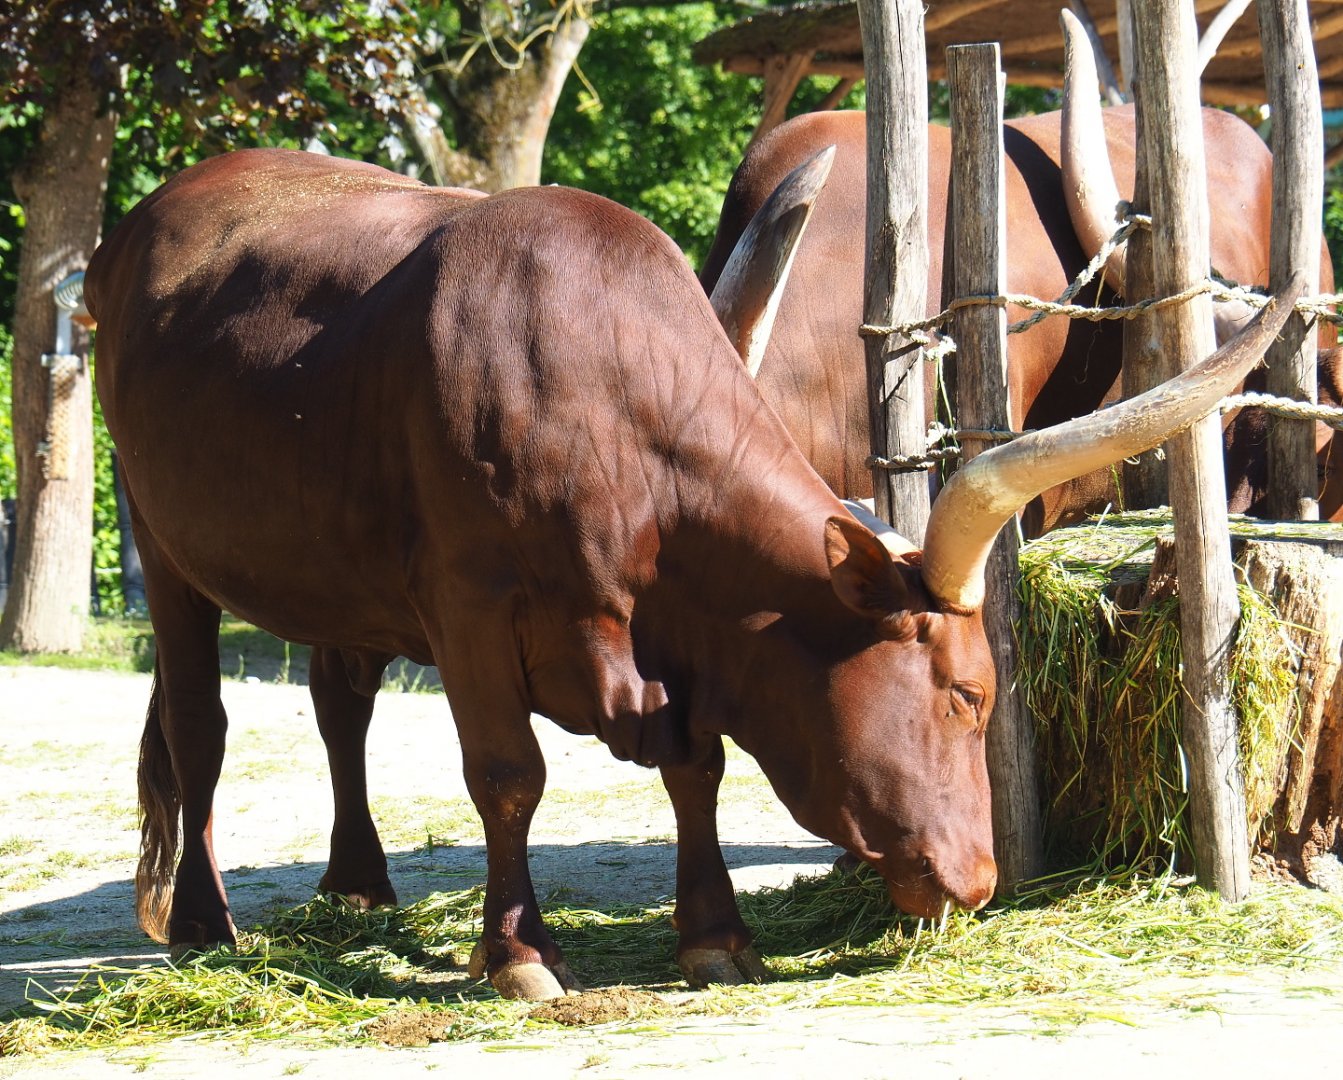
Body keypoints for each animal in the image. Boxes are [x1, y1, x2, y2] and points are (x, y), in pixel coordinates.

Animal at [85, 147, 1299, 1000]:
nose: (976, 882)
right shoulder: (470, 610)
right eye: (966, 693)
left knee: (340, 705)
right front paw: (519, 954)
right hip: (166, 545)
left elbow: (694, 768)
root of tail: (145, 220)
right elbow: (508, 776)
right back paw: (202, 923)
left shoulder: (671, 646)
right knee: (197, 725)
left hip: (338, 569)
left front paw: (716, 934)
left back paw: (359, 885)